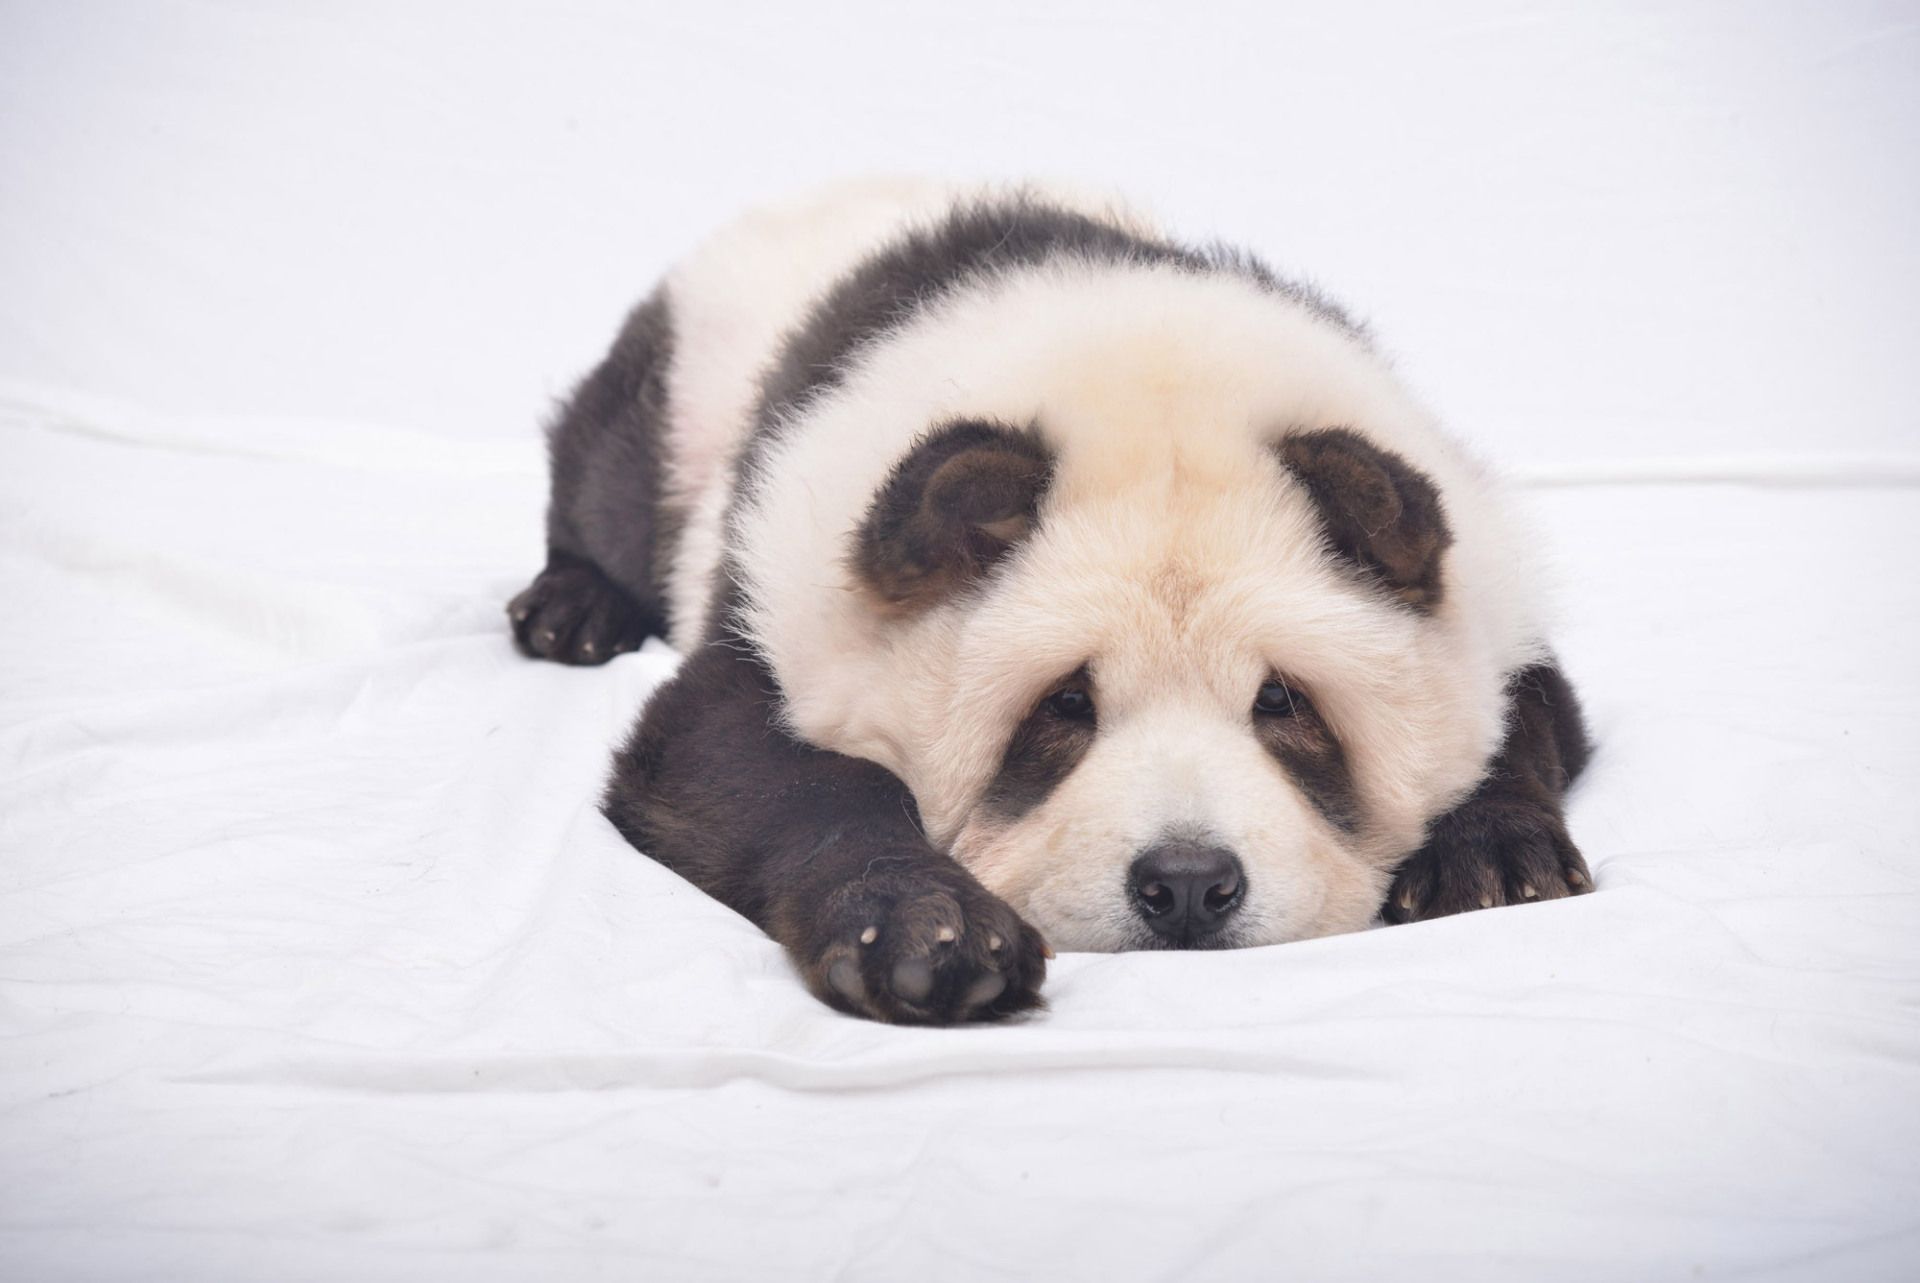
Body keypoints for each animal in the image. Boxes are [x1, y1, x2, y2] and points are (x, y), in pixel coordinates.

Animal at [506, 177, 1589, 1021]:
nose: (1186, 886)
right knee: (603, 474)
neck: (1131, 353)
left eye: (1283, 701)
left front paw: (1492, 858)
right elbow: (737, 759)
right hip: (684, 388)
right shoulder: (787, 588)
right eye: (1064, 703)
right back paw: (574, 609)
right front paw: (932, 935)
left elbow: (1525, 709)